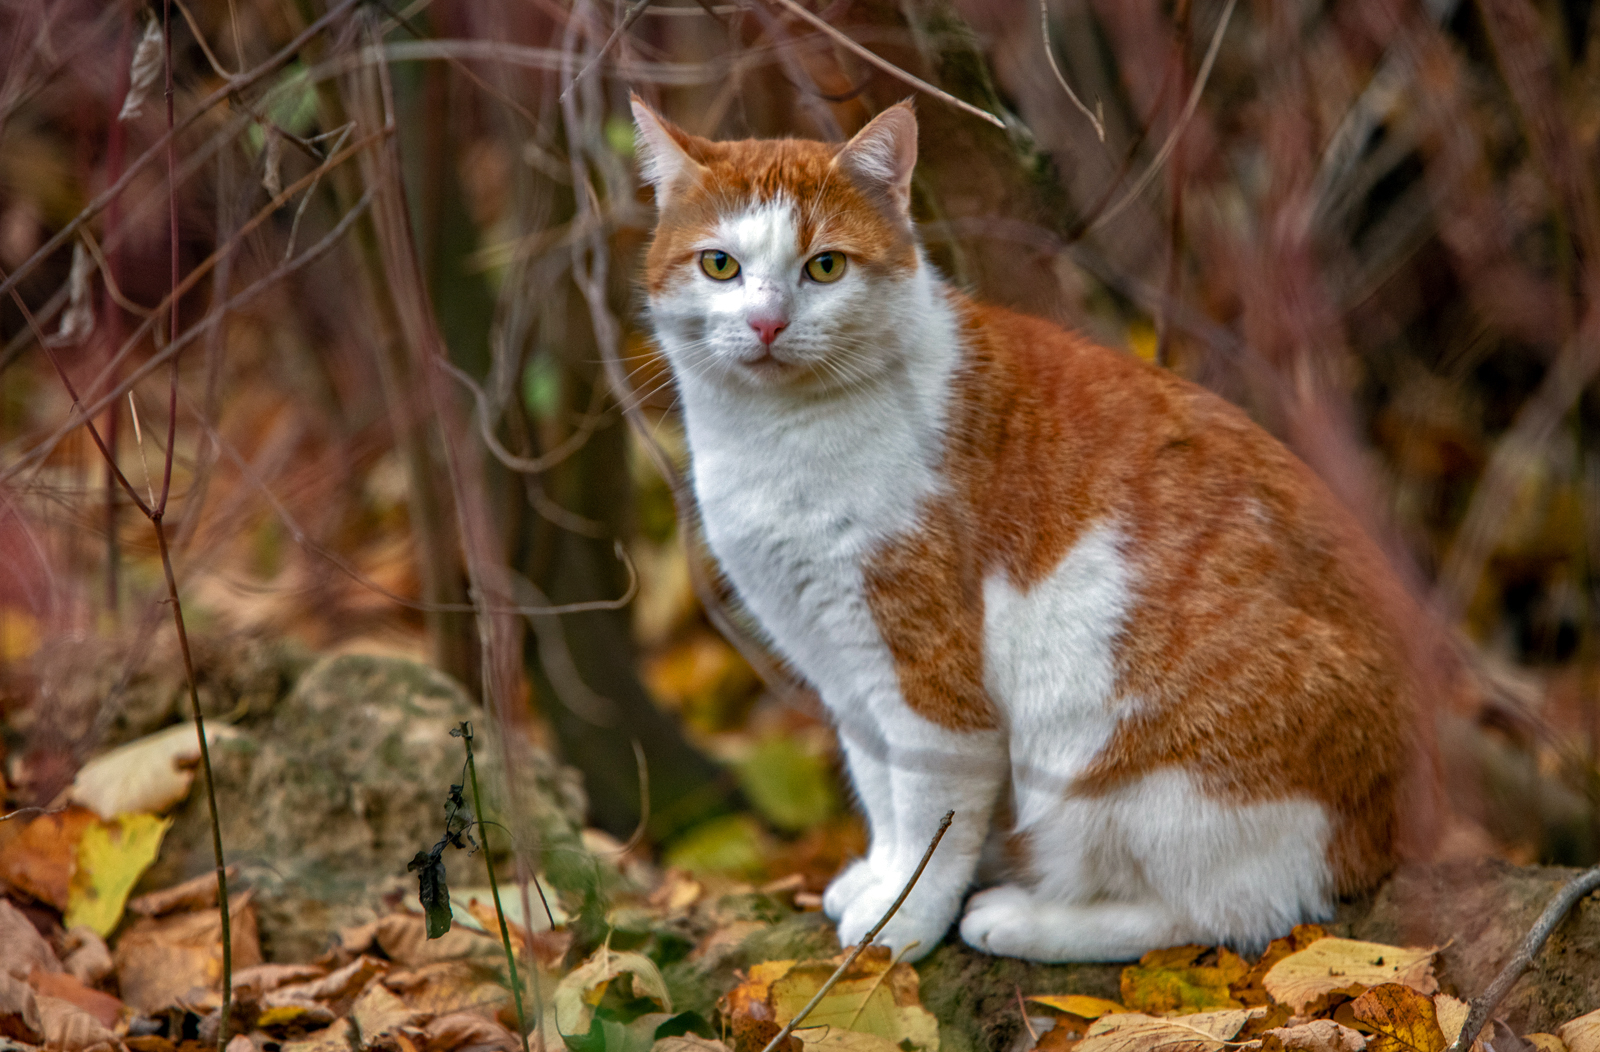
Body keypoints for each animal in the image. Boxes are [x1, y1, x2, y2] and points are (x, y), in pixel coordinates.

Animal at [624, 96, 1414, 959]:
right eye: (720, 266)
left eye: (824, 268)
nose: (766, 324)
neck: (774, 441)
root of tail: (1384, 828)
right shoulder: (843, 667)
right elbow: (880, 793)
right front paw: (876, 880)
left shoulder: (930, 681)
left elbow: (927, 814)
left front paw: (901, 923)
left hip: (1129, 772)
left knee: (1222, 915)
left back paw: (1024, 918)